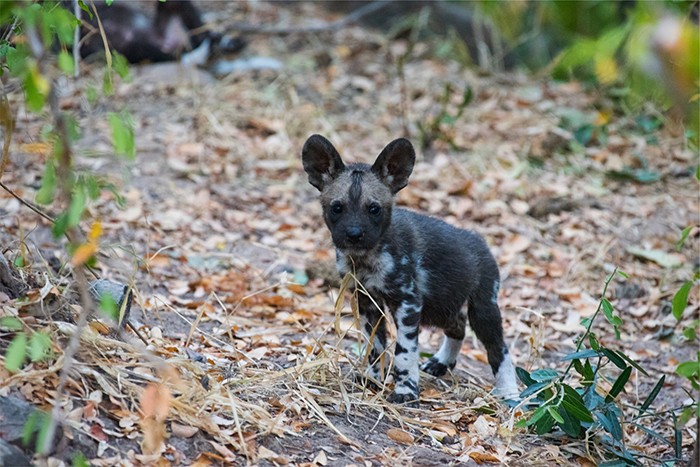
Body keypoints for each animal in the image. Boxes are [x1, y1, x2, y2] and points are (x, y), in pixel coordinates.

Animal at [302, 135, 520, 406]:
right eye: (337, 208)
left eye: (373, 209)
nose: (354, 234)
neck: (367, 258)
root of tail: (479, 240)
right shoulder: (367, 302)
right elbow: (375, 347)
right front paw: (372, 379)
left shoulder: (407, 303)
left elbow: (404, 353)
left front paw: (405, 390)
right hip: (441, 307)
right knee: (458, 326)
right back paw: (441, 363)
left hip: (482, 310)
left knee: (499, 348)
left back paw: (509, 392)